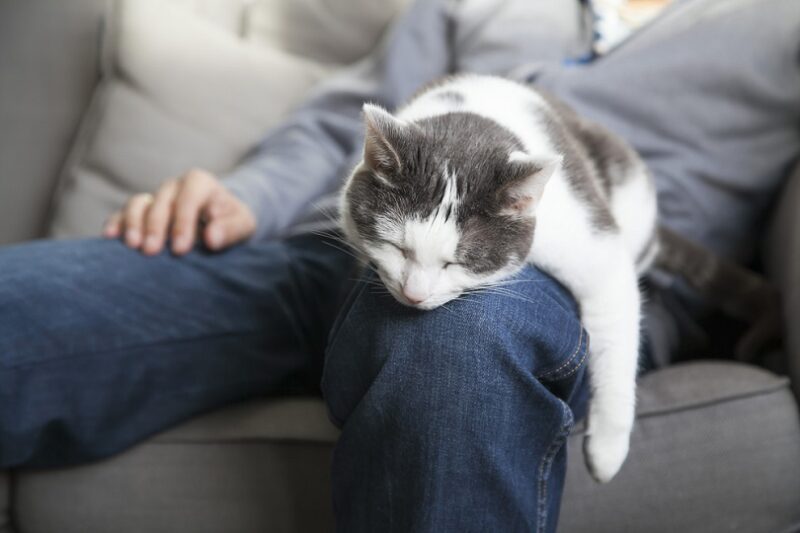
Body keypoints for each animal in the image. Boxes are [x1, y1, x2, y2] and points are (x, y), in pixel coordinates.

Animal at [338, 74, 780, 482]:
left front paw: (607, 450)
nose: (413, 295)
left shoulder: (592, 239)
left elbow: (616, 330)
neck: (473, 122)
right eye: (397, 247)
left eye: (459, 262)